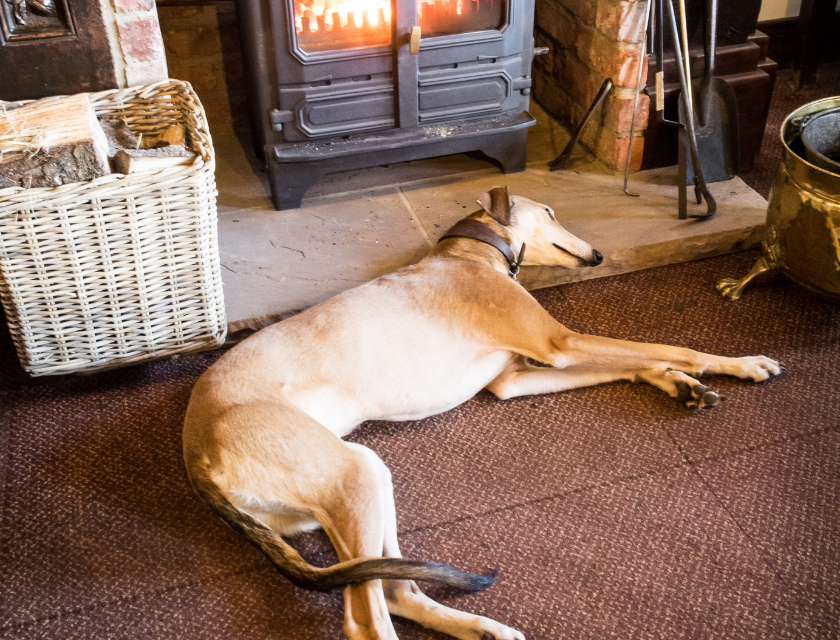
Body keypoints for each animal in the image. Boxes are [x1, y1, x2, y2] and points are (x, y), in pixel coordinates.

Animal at [184, 186, 780, 640]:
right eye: (551, 211)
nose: (598, 257)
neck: (468, 254)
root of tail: (195, 455)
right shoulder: (560, 342)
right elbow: (667, 347)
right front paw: (737, 363)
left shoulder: (517, 377)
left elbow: (637, 362)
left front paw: (680, 385)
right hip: (350, 476)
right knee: (366, 619)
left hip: (364, 478)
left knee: (396, 588)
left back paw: (482, 629)